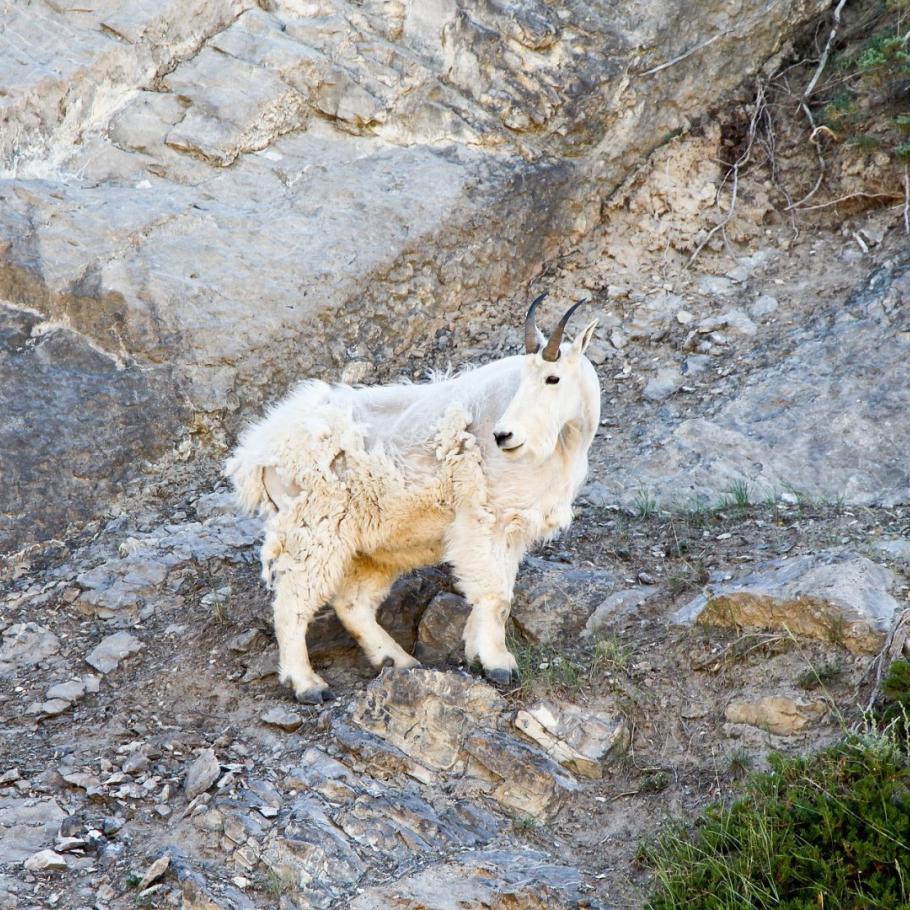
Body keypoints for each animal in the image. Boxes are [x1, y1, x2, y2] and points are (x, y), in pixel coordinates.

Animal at [225, 296, 604, 700]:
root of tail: (259, 452)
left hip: (368, 544)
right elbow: (494, 593)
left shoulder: (513, 527)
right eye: (523, 379)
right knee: (293, 601)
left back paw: (397, 660)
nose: (504, 436)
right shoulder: (483, 519)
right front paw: (498, 665)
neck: (563, 443)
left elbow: (500, 593)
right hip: (313, 528)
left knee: (353, 603)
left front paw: (477, 653)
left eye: (553, 378)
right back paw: (308, 684)